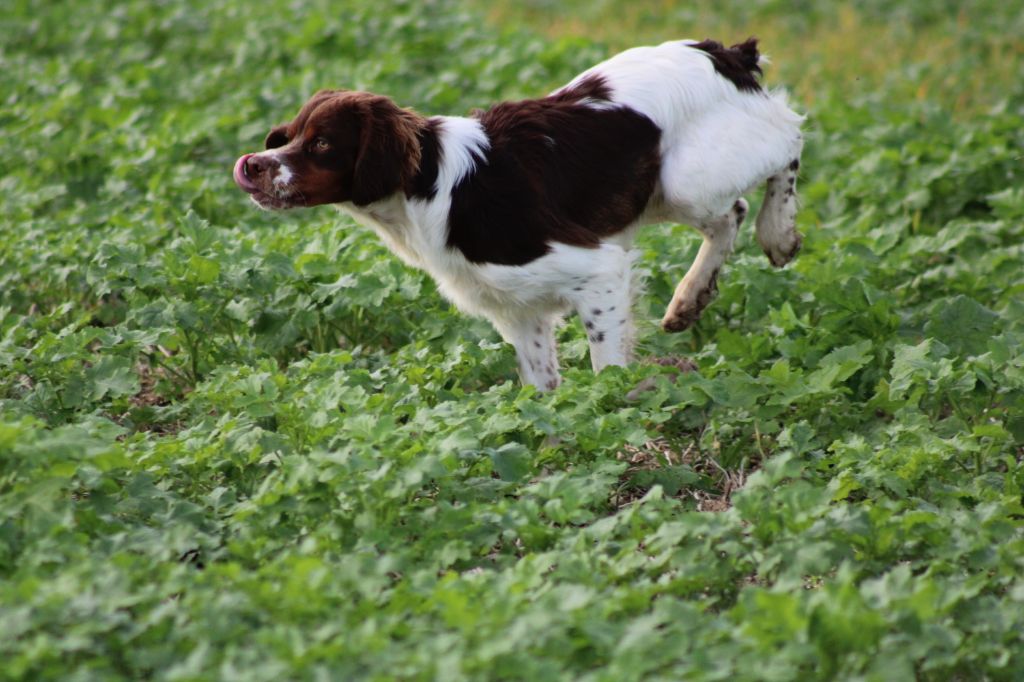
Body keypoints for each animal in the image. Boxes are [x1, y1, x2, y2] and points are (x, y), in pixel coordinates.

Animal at [234, 38, 806, 387]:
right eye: (290, 135)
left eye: (323, 144)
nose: (252, 165)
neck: (429, 189)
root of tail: (723, 53)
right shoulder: (518, 310)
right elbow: (541, 386)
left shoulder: (596, 270)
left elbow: (606, 367)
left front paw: (613, 417)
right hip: (667, 191)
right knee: (731, 212)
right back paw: (690, 298)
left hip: (688, 177)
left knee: (790, 140)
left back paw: (778, 234)